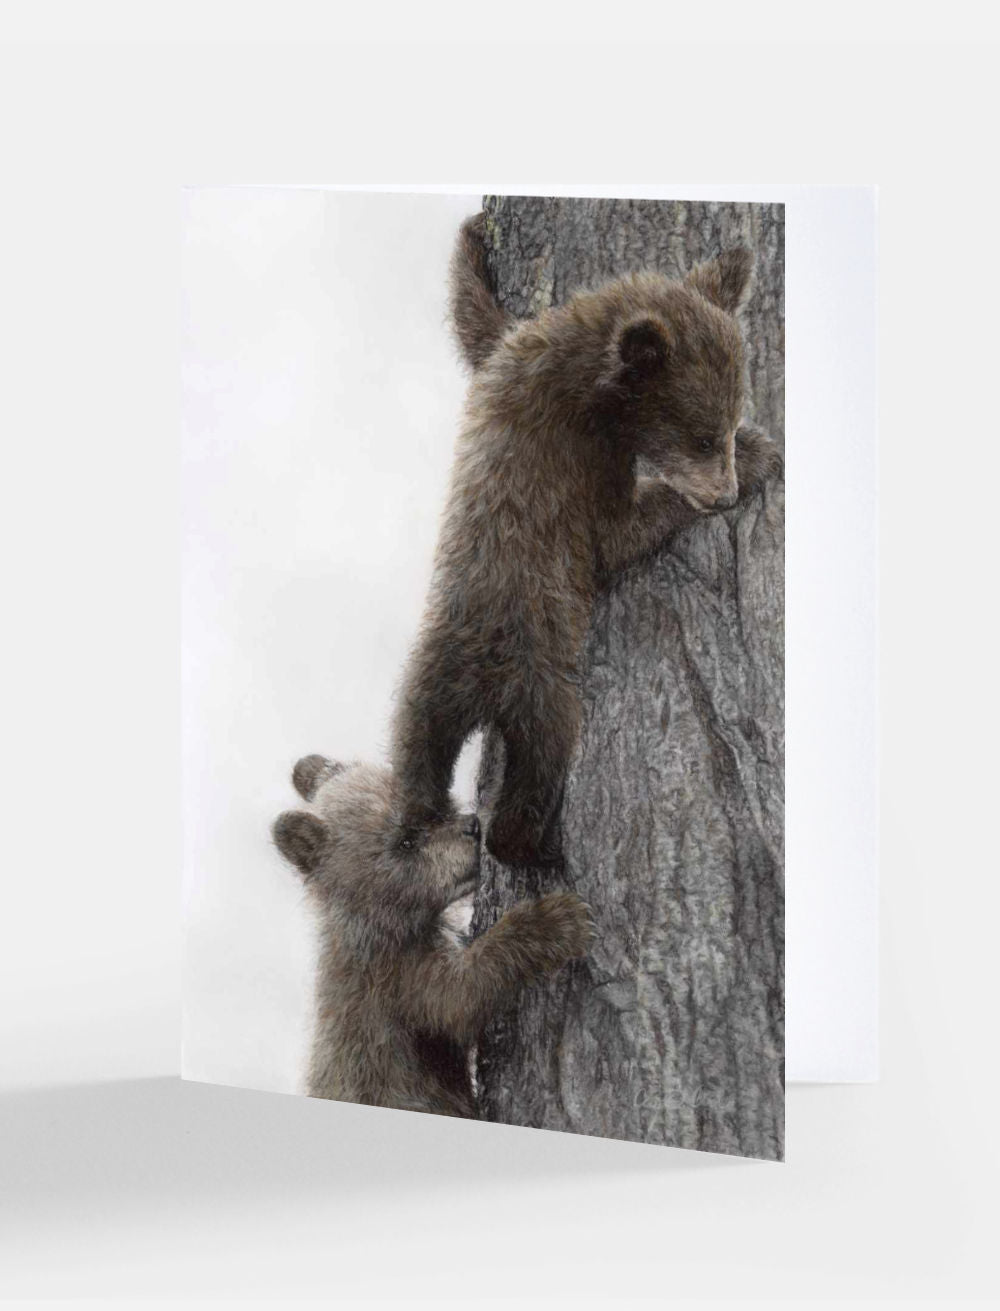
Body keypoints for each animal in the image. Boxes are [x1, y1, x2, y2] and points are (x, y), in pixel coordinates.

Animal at [272, 753, 593, 1118]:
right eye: (406, 841)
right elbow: (460, 997)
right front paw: (557, 919)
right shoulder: (397, 980)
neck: (388, 924)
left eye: (439, 808)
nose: (473, 827)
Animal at [389, 213, 783, 869]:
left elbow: (477, 323)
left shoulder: (510, 355)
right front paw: (763, 454)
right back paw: (530, 845)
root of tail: (480, 684)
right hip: (541, 685)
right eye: (705, 438)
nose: (724, 495)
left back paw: (420, 820)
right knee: (543, 761)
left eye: (725, 426)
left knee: (413, 760)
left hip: (426, 685)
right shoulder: (577, 457)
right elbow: (616, 532)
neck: (584, 381)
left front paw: (472, 238)